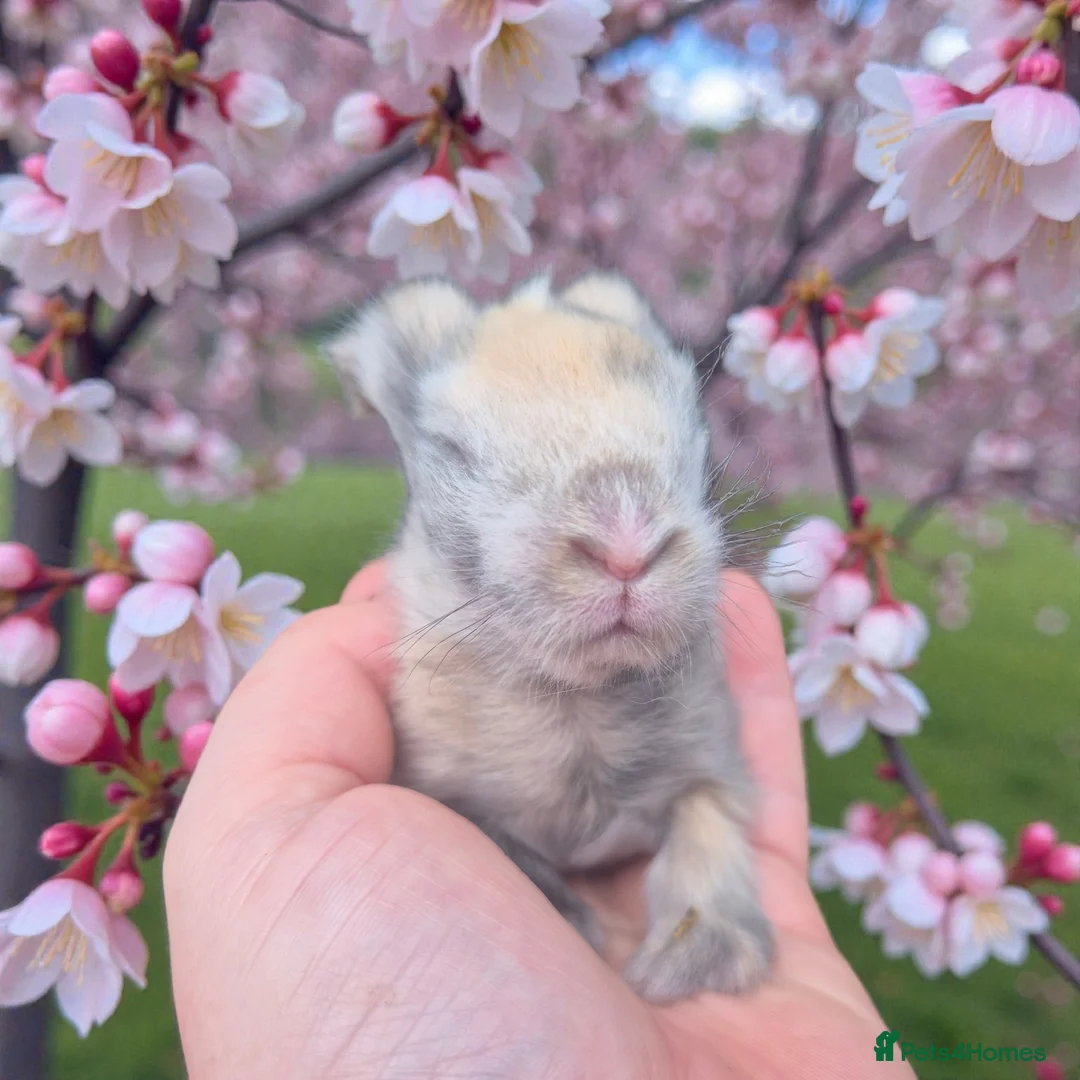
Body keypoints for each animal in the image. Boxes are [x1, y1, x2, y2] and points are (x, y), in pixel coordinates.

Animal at [325, 271, 774, 1003]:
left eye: (694, 435)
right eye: (453, 451)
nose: (627, 548)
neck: (579, 700)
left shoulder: (712, 773)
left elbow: (704, 838)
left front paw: (695, 959)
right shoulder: (446, 794)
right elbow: (507, 848)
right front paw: (575, 923)